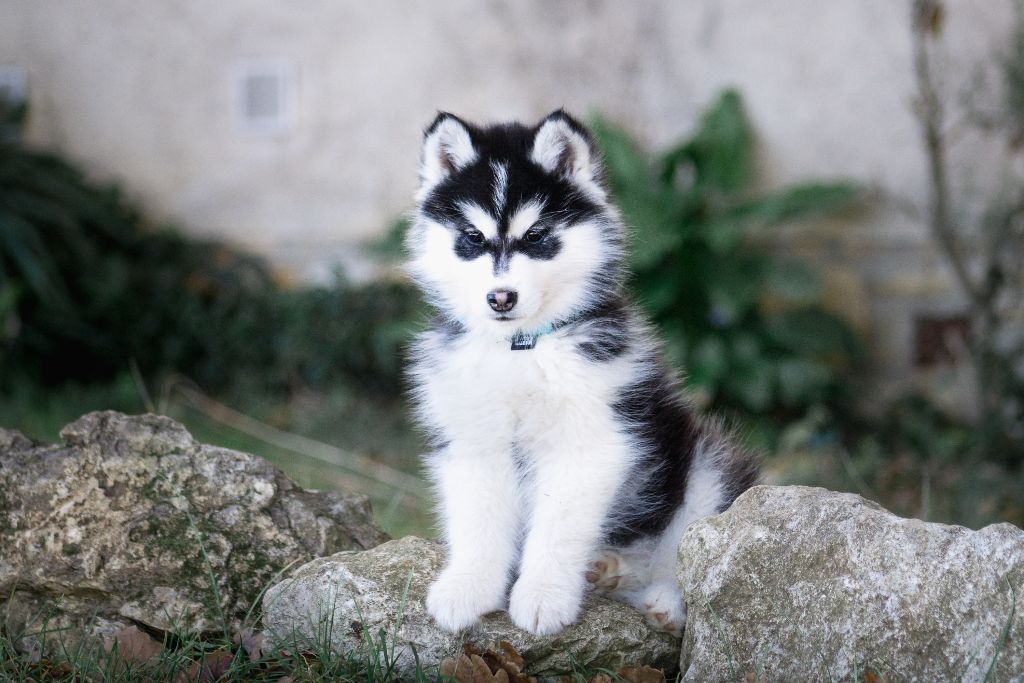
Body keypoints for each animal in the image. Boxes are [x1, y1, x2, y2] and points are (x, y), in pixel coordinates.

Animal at [405, 110, 758, 637]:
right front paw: (467, 587)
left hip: (707, 463)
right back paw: (610, 571)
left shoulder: (591, 441)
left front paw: (543, 596)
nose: (501, 297)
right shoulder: (473, 440)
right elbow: (477, 520)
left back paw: (663, 599)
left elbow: (558, 529)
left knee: (690, 549)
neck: (522, 349)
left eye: (536, 236)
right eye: (472, 238)